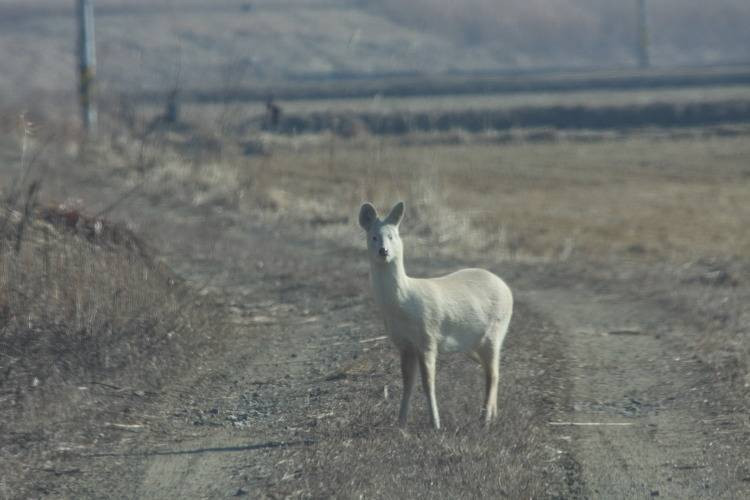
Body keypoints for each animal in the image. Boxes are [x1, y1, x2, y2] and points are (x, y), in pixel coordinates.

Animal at [360, 202, 516, 430]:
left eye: (393, 235)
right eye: (373, 236)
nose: (384, 250)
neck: (403, 304)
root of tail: (506, 288)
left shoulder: (428, 337)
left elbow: (428, 383)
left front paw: (435, 424)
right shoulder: (404, 344)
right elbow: (407, 383)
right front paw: (400, 423)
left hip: (494, 332)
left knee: (493, 373)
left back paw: (485, 419)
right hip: (471, 344)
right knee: (492, 370)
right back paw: (492, 415)